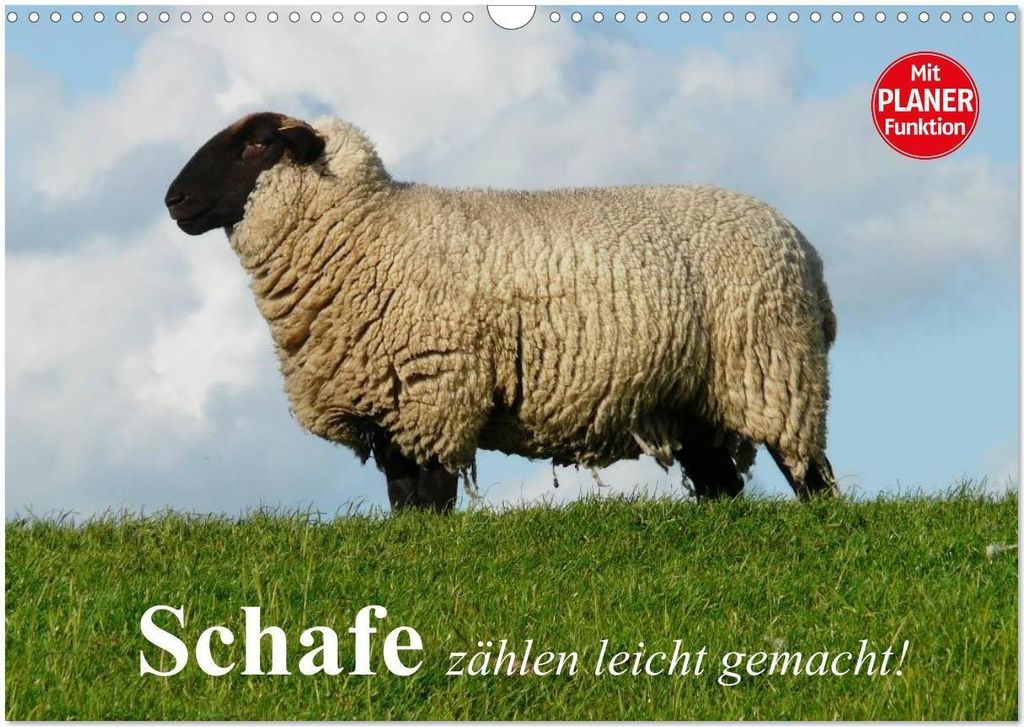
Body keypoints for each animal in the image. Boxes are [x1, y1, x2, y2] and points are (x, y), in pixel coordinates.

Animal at [164, 111, 839, 512]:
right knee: (721, 484)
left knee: (809, 470)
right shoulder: (391, 408)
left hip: (775, 369)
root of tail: (805, 248)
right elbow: (404, 501)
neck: (367, 231)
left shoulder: (434, 392)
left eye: (257, 143)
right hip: (695, 395)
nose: (174, 200)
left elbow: (430, 498)